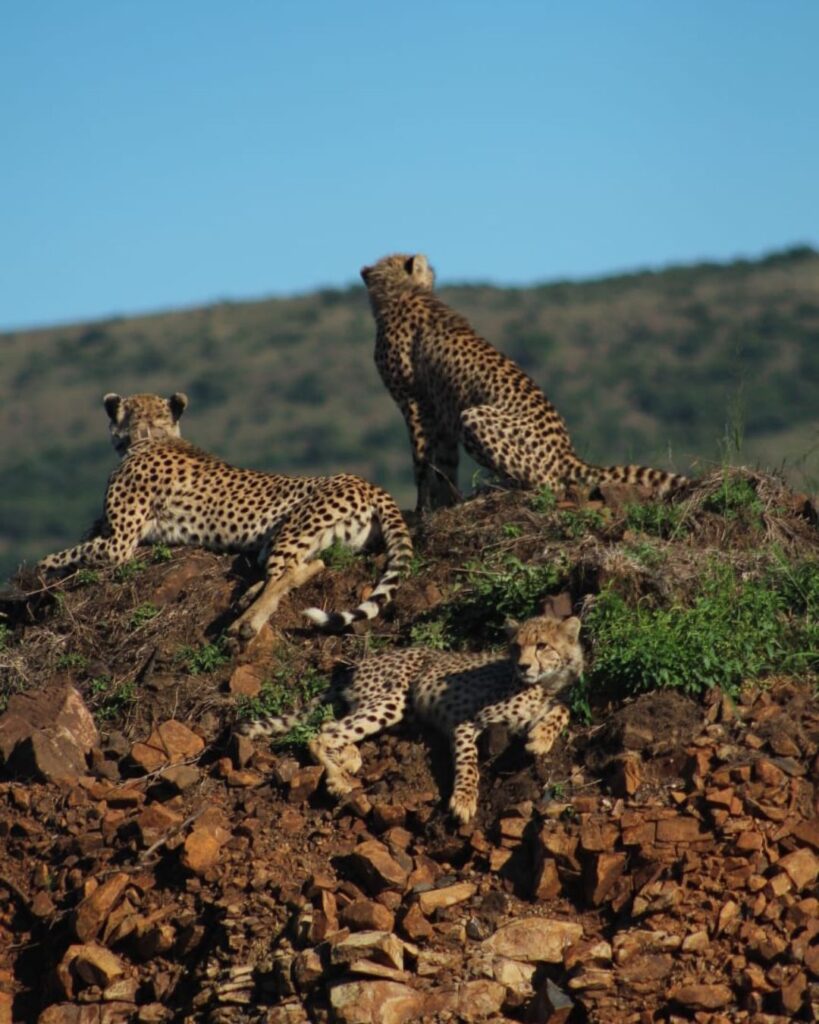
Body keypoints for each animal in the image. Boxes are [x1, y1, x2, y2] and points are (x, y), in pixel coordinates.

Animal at [38, 392, 413, 639]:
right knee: (310, 565)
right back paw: (249, 596)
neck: (151, 435)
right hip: (301, 540)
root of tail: (370, 484)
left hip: (294, 528)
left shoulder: (118, 543)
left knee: (286, 573)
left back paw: (244, 624)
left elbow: (63, 555)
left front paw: (45, 567)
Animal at [239, 609, 583, 824]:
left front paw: (540, 740)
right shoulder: (466, 722)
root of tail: (360, 664)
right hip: (394, 699)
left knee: (332, 724)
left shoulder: (553, 700)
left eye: (542, 645)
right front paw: (464, 800)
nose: (523, 665)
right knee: (323, 733)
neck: (543, 684)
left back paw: (348, 758)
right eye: (516, 647)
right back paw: (337, 778)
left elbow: (563, 710)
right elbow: (469, 765)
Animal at [362, 252, 688, 512]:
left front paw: (421, 510)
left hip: (475, 416)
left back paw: (502, 489)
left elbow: (421, 463)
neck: (402, 292)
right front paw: (445, 505)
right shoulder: (440, 411)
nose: (434, 273)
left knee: (551, 484)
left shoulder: (415, 403)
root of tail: (566, 450)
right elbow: (444, 465)